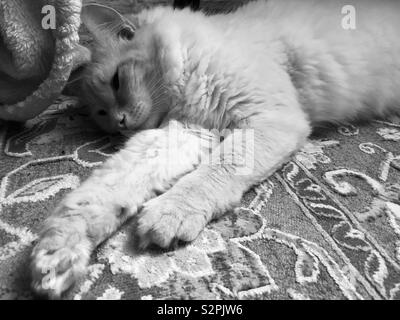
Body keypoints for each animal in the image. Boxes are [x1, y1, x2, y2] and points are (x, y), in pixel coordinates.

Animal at [30, 0, 400, 298]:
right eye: (101, 114)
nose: (120, 123)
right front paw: (57, 254)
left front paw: (170, 214)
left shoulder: (264, 120)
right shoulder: (186, 132)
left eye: (117, 81)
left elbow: (212, 173)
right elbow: (100, 195)